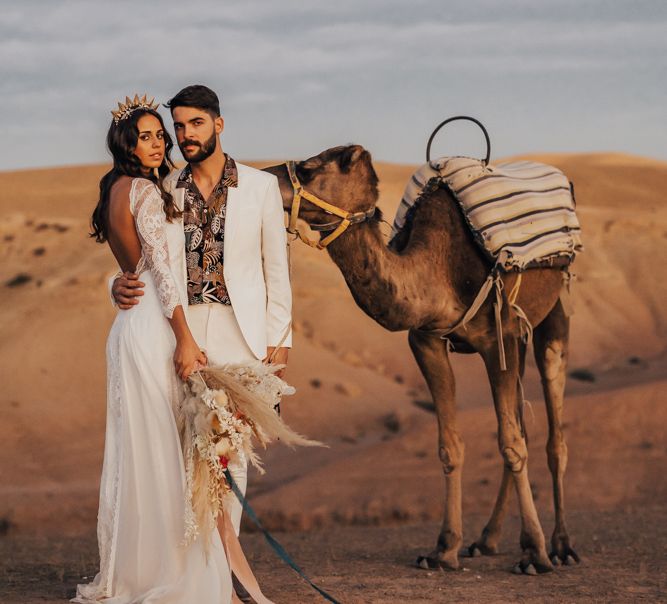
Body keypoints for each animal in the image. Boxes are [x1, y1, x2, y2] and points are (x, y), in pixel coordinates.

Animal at [264, 145, 580, 576]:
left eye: (310, 169)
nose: (262, 175)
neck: (438, 270)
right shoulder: (427, 341)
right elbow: (452, 446)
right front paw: (444, 549)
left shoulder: (500, 334)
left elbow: (512, 444)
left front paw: (534, 552)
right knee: (523, 428)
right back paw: (487, 539)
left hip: (554, 311)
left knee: (554, 435)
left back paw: (561, 545)